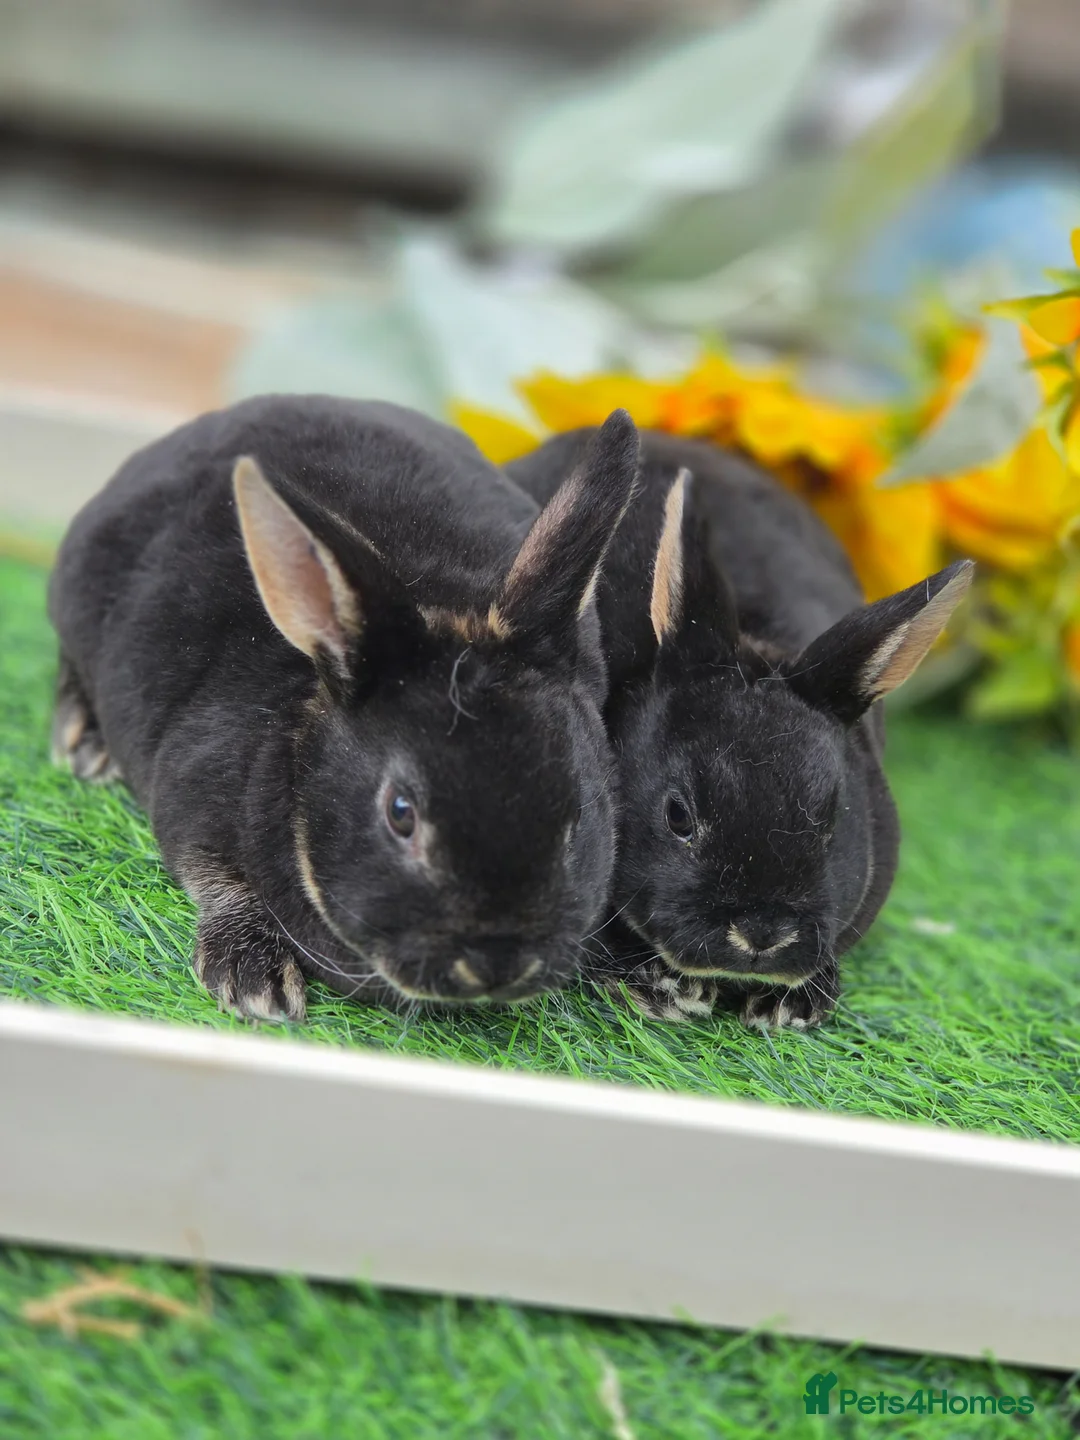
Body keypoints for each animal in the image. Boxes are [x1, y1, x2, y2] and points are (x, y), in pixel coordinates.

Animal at [48, 396, 642, 1022]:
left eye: (578, 813)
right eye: (400, 813)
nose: (497, 965)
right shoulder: (193, 789)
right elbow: (213, 876)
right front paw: (254, 979)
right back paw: (84, 743)